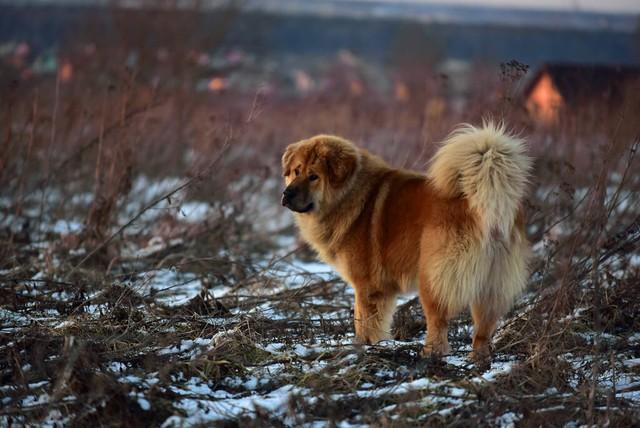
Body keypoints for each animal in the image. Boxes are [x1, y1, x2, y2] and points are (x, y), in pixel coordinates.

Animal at [282, 123, 532, 362]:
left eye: (314, 176)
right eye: (295, 171)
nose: (286, 194)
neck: (352, 196)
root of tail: (486, 205)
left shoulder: (366, 286)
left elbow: (362, 321)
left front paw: (361, 348)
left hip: (432, 278)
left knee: (438, 322)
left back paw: (429, 355)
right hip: (490, 286)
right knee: (483, 330)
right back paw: (478, 360)